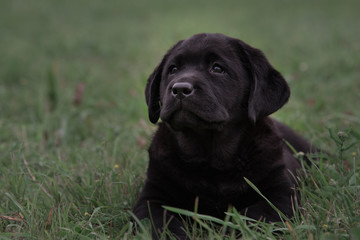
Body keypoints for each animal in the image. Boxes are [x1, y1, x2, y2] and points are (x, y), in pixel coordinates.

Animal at [134, 32, 314, 239]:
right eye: (173, 69)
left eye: (217, 68)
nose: (179, 89)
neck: (211, 158)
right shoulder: (152, 196)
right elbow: (159, 222)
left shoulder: (280, 194)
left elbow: (252, 216)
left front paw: (228, 231)